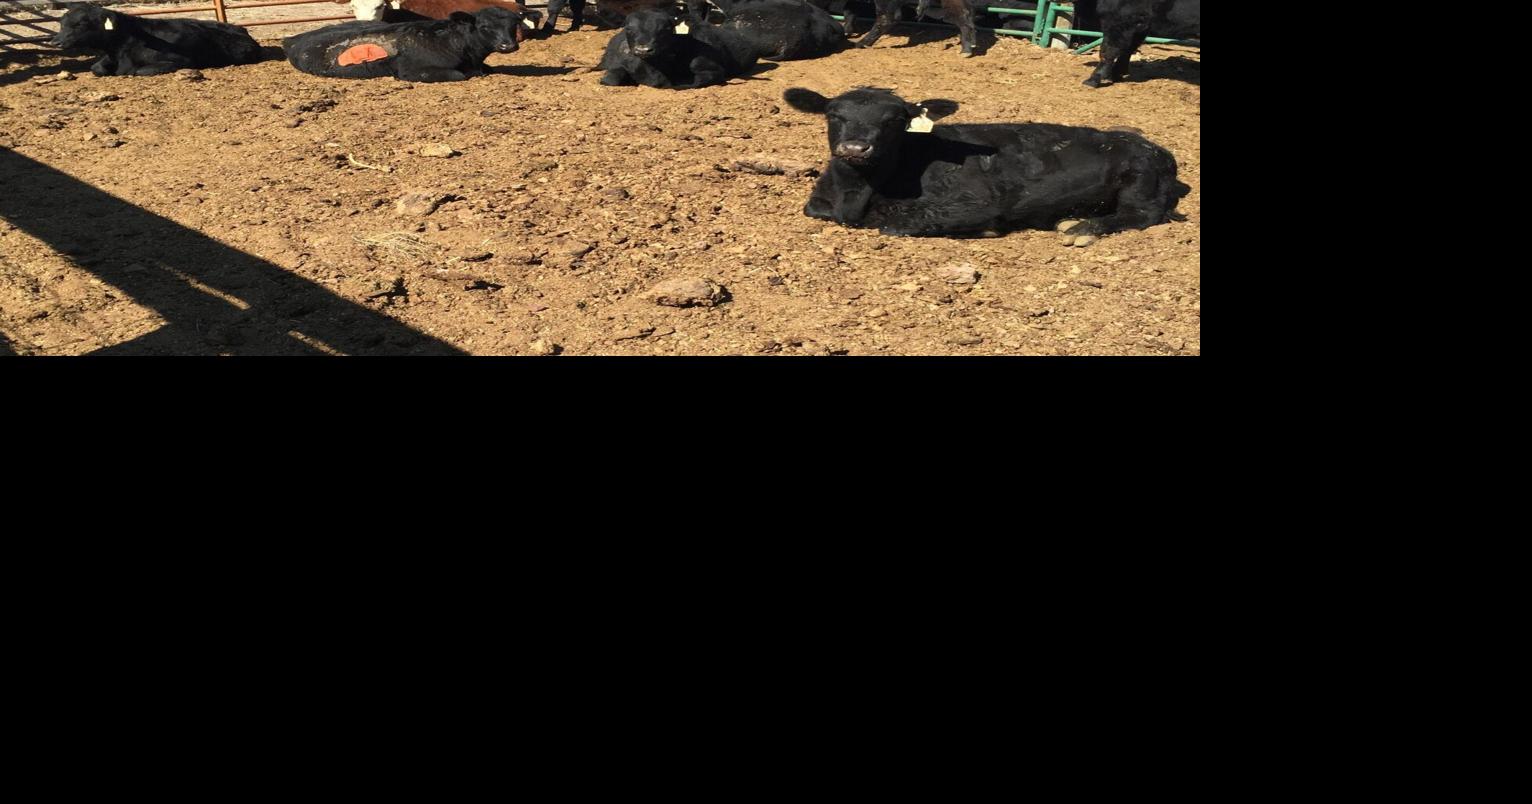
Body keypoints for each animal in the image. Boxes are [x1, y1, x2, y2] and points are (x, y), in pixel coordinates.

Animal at [46, 5, 261, 76]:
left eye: (81, 23)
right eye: (62, 23)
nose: (55, 42)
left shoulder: (182, 60)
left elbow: (138, 71)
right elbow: (96, 68)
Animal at [284, 7, 527, 82]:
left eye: (514, 24)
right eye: (484, 26)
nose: (508, 46)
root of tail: (293, 38)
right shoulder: (415, 70)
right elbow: (459, 75)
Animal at [782, 86, 1188, 238]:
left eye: (895, 119)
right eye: (833, 114)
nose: (855, 148)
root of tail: (1156, 148)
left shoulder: (975, 202)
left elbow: (897, 222)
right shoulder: (818, 202)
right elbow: (815, 209)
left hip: (1140, 178)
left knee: (1143, 213)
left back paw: (1083, 227)